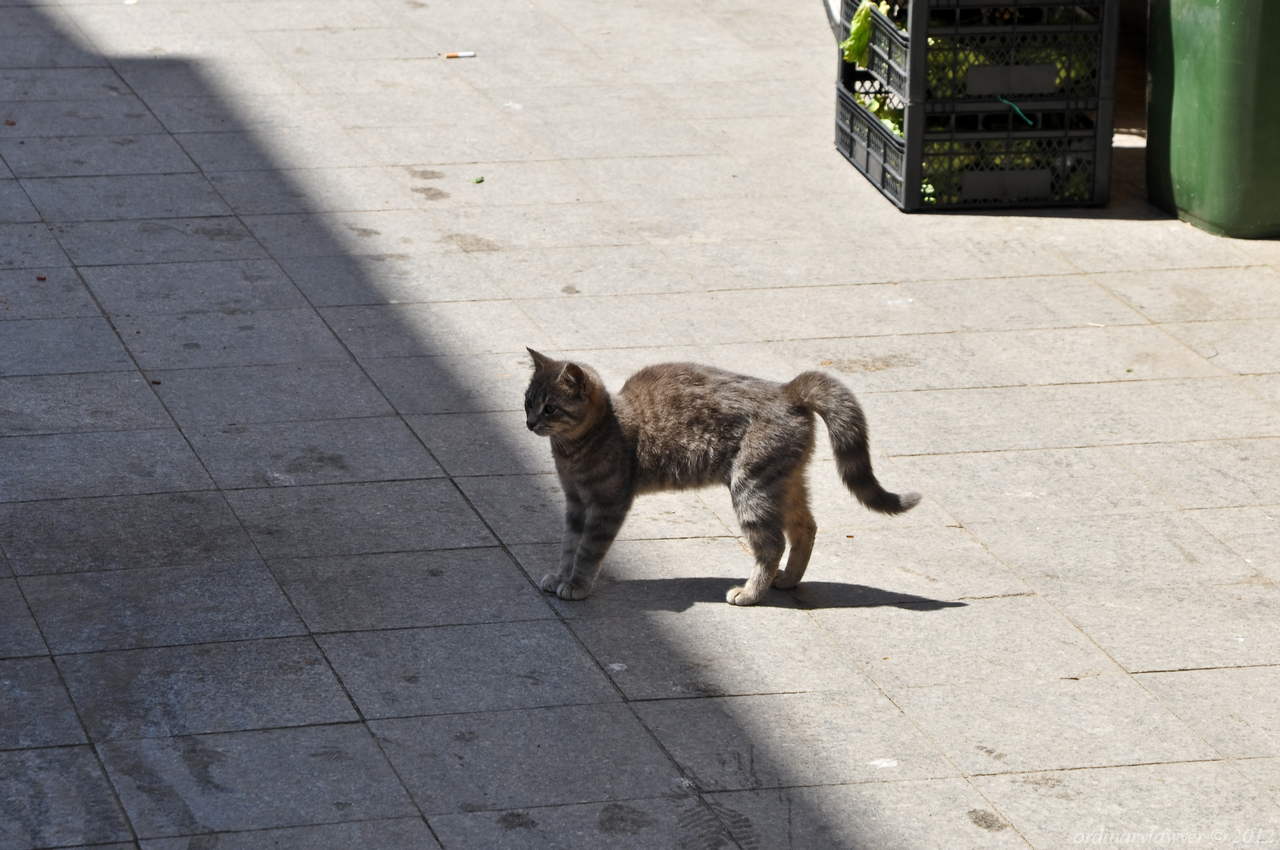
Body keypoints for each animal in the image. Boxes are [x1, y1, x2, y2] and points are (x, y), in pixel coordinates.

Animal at [522, 350, 921, 604]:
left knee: (772, 544)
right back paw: (788, 579)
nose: (528, 422)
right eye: (527, 401)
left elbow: (588, 550)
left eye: (550, 408)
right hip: (784, 483)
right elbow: (569, 546)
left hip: (752, 488)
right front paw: (561, 576)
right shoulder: (575, 504)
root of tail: (787, 390)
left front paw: (576, 585)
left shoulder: (607, 505)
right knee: (805, 528)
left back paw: (751, 592)